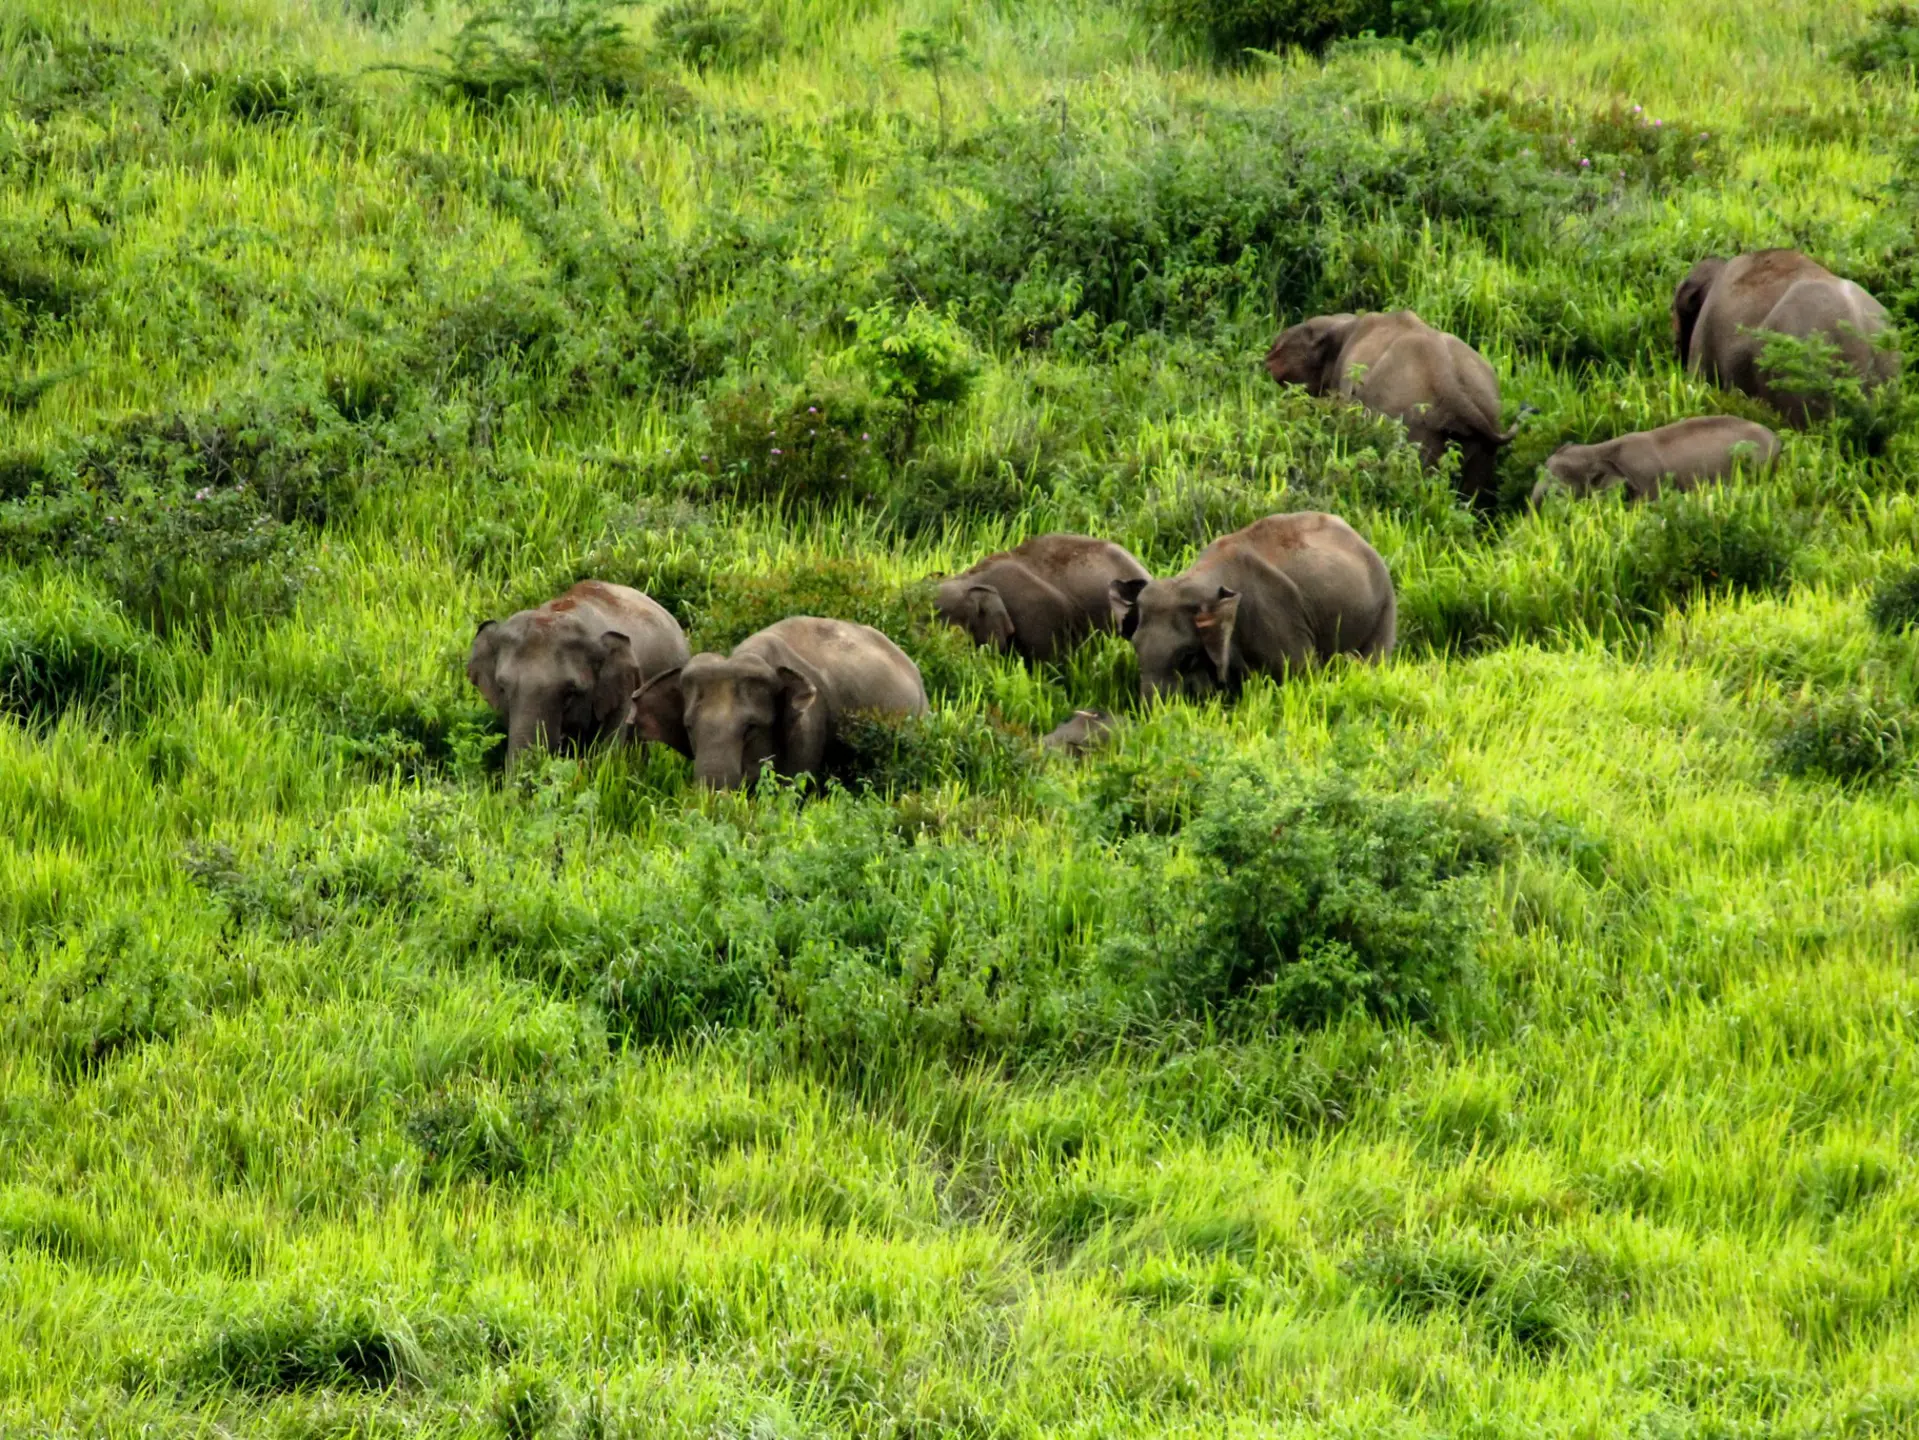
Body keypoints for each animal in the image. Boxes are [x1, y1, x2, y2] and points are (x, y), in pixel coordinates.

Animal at [1110, 512, 1395, 703]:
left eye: (1187, 656)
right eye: (1135, 647)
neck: (1196, 580)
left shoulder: (1278, 617)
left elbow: (1299, 674)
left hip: (1384, 608)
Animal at [1265, 309, 1517, 505]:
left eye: (1309, 332)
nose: (1268, 354)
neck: (1345, 322)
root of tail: (1448, 383)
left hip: (1415, 428)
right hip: (1483, 434)